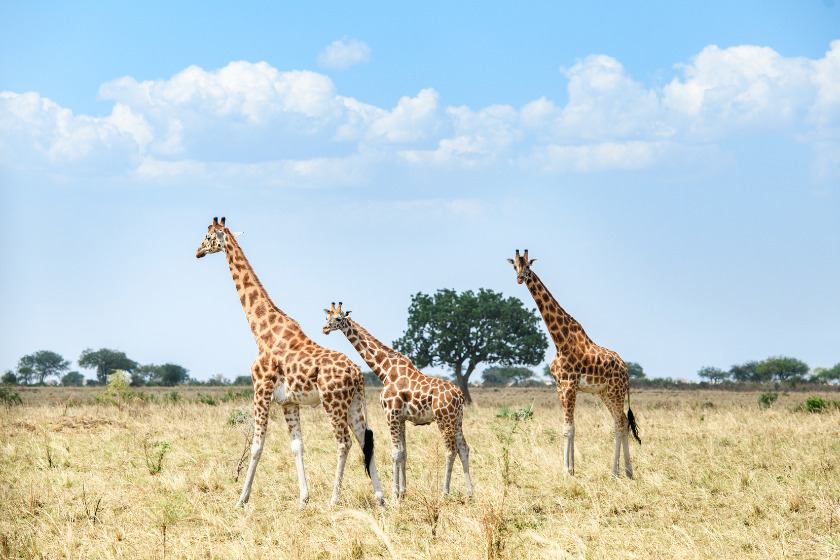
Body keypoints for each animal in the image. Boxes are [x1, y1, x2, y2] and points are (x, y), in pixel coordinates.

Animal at [197, 218, 384, 508]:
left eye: (207, 237)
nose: (197, 252)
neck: (262, 334)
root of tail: (358, 374)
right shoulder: (288, 402)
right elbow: (297, 446)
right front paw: (303, 498)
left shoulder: (260, 390)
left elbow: (256, 446)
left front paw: (241, 500)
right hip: (354, 404)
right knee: (365, 440)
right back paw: (381, 498)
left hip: (333, 403)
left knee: (344, 443)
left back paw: (334, 500)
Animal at [322, 302, 472, 498]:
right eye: (327, 317)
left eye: (338, 318)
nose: (324, 329)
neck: (385, 370)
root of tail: (460, 395)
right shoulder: (401, 418)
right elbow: (403, 452)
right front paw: (402, 492)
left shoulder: (390, 414)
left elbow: (395, 453)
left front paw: (394, 495)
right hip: (457, 420)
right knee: (464, 448)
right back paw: (470, 494)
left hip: (444, 419)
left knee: (450, 451)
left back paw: (444, 493)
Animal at [508, 252, 640, 480]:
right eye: (514, 266)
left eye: (528, 267)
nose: (519, 278)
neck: (559, 341)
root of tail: (627, 371)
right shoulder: (560, 386)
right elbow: (572, 427)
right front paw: (572, 469)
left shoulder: (570, 385)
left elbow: (567, 428)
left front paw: (566, 471)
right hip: (604, 392)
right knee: (622, 421)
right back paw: (627, 471)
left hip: (616, 390)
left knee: (619, 423)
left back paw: (615, 472)